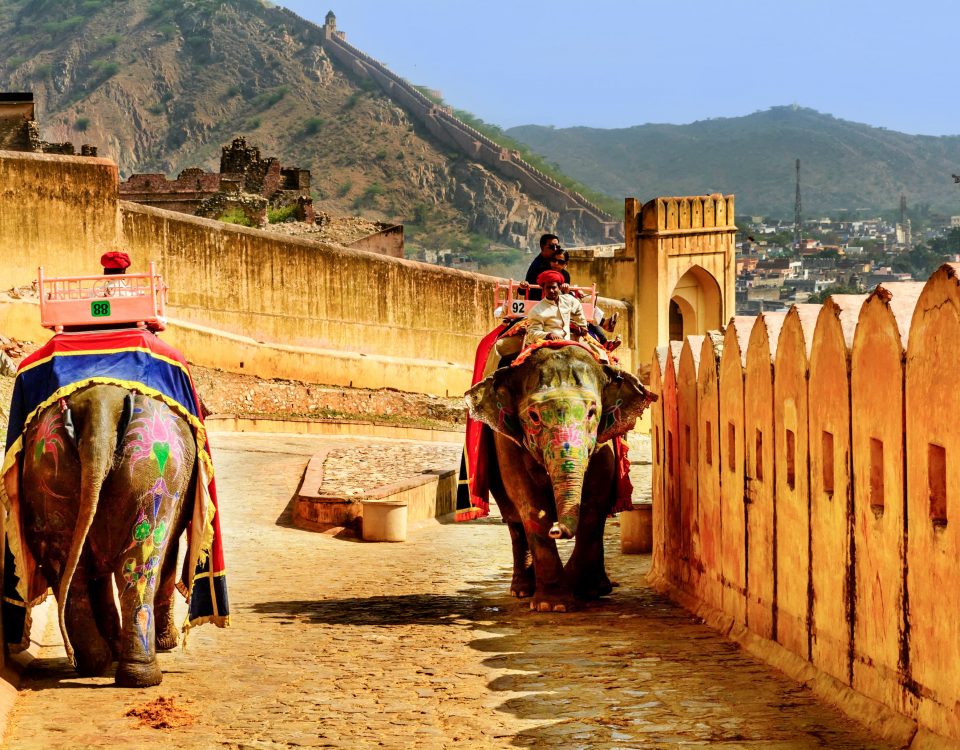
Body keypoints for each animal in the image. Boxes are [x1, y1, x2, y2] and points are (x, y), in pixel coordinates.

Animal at [15, 383, 196, 687]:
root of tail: (99, 405)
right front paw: (167, 643)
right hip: (151, 474)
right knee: (142, 564)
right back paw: (140, 677)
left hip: (47, 477)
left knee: (68, 566)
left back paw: (94, 663)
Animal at [465, 344, 653, 612]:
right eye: (534, 416)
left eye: (592, 412)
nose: (556, 529)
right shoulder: (507, 441)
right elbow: (529, 504)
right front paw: (552, 605)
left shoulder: (603, 440)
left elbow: (595, 499)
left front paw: (583, 590)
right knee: (513, 518)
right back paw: (522, 590)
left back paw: (597, 587)